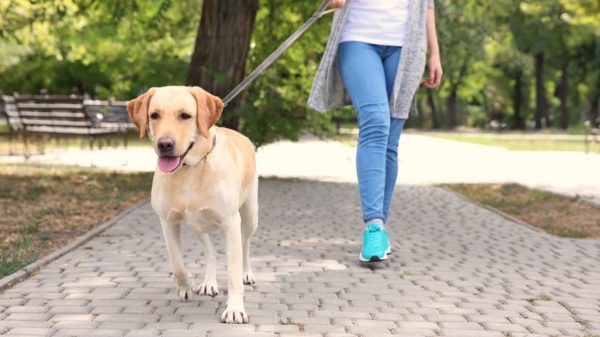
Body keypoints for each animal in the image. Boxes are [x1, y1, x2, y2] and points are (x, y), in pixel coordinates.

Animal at [126, 85, 258, 322]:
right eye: (154, 115)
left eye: (185, 115)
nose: (164, 144)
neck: (190, 169)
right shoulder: (167, 222)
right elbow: (177, 263)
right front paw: (186, 287)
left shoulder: (230, 222)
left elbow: (233, 271)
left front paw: (235, 308)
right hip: (197, 226)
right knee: (211, 252)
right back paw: (208, 283)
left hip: (250, 215)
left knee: (245, 245)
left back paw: (247, 273)